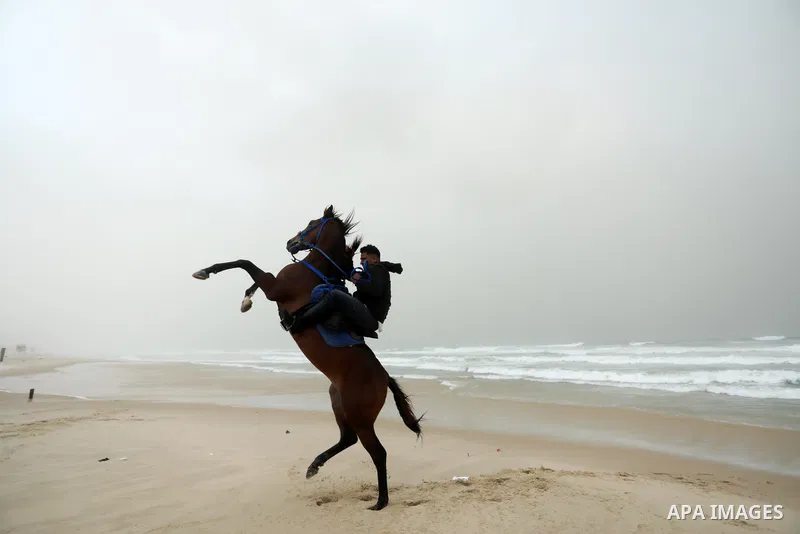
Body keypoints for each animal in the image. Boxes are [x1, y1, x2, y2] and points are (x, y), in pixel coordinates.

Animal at [191, 205, 423, 510]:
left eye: (312, 223)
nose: (291, 242)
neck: (313, 270)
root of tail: (385, 378)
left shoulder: (274, 287)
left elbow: (245, 263)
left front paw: (205, 272)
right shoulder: (272, 286)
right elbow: (252, 275)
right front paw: (245, 300)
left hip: (360, 416)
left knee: (377, 452)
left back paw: (380, 501)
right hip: (338, 402)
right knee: (348, 438)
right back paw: (314, 465)